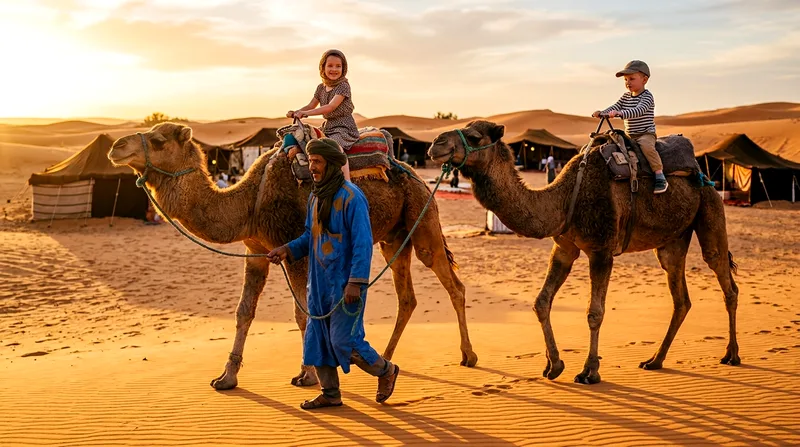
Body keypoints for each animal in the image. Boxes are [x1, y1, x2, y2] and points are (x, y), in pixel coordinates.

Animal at [108, 122, 477, 390]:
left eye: (157, 139)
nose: (115, 147)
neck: (250, 202)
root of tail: (416, 174)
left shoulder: (294, 249)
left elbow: (302, 313)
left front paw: (308, 375)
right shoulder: (256, 249)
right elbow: (244, 311)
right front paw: (226, 377)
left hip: (422, 218)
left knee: (454, 285)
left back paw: (468, 356)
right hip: (393, 236)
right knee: (407, 297)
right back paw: (386, 357)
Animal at [428, 120, 739, 385]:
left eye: (473, 136)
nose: (435, 143)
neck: (564, 199)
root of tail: (702, 173)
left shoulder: (601, 250)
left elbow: (594, 312)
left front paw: (590, 371)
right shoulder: (564, 247)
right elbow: (541, 302)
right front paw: (553, 365)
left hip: (710, 207)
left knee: (724, 277)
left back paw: (731, 355)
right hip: (671, 241)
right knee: (680, 297)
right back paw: (654, 360)